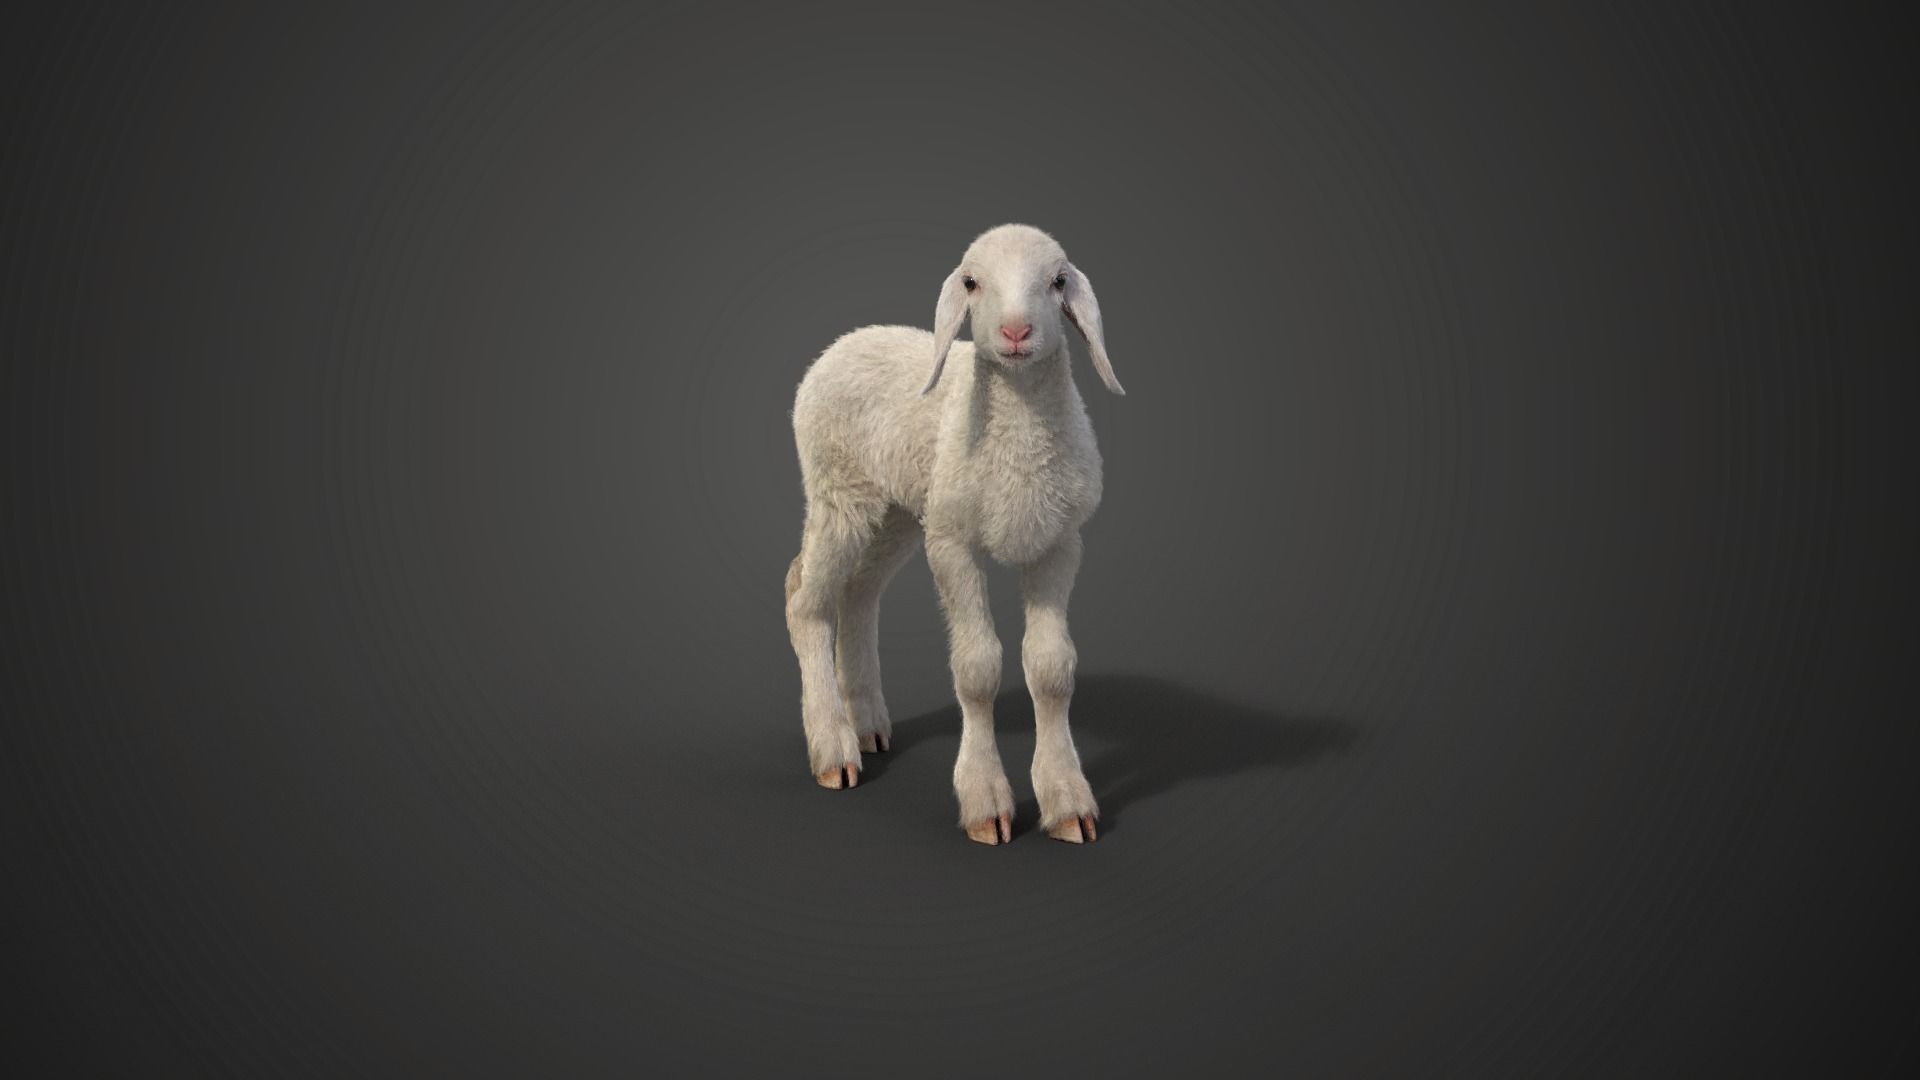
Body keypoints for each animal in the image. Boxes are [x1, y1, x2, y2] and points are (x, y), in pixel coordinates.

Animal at [784, 223, 1126, 845]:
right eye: (971, 282)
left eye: (1058, 281)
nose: (1016, 332)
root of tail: (845, 340)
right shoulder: (953, 542)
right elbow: (977, 669)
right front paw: (986, 802)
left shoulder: (1058, 543)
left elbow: (1052, 670)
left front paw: (1067, 803)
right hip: (839, 490)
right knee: (807, 600)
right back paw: (833, 749)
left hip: (900, 509)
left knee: (858, 593)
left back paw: (867, 724)